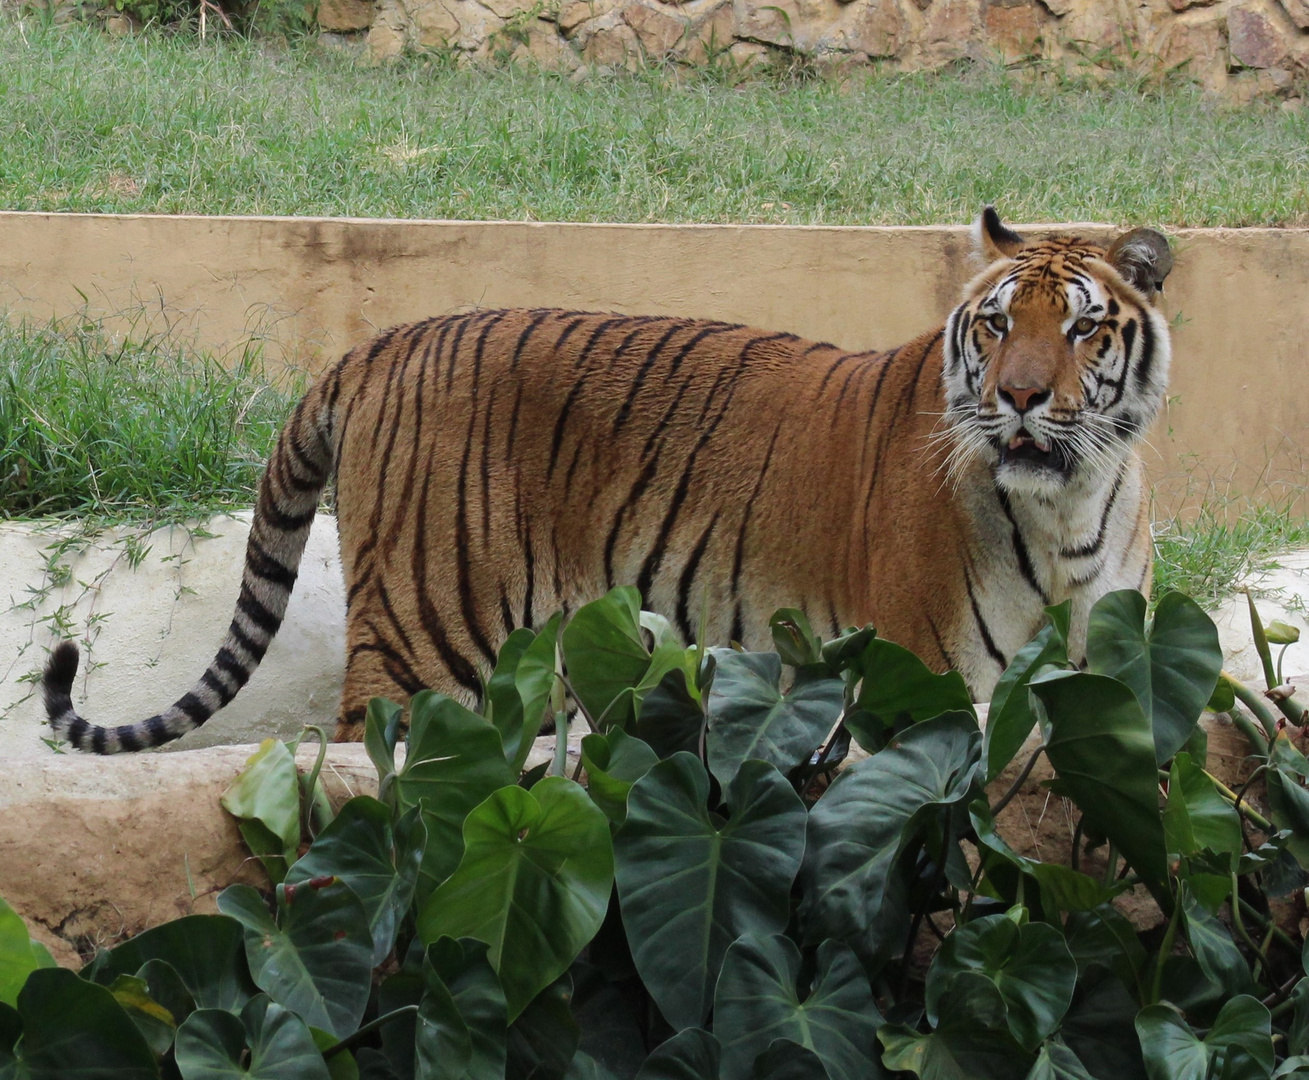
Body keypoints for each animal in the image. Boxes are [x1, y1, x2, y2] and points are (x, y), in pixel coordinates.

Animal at [40, 208, 1172, 748]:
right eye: (997, 325)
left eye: (1079, 328)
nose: (1019, 398)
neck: (1066, 504)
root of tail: (384, 340)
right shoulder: (915, 676)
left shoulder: (1109, 666)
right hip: (428, 629)